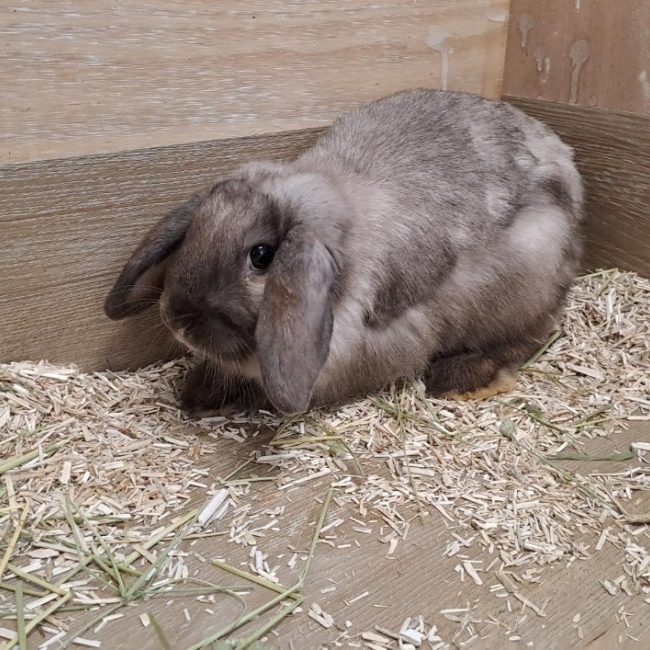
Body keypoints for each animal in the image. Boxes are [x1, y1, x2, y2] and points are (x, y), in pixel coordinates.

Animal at [104, 89, 583, 415]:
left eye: (261, 256)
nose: (177, 321)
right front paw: (198, 393)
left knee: (529, 335)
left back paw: (462, 381)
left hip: (523, 284)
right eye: (196, 229)